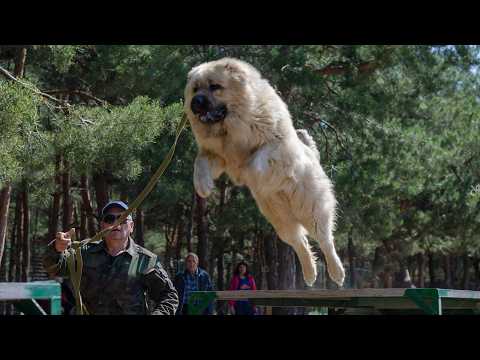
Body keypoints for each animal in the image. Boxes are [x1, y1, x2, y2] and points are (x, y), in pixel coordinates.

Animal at [184, 57, 344, 286]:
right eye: (195, 89)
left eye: (215, 87)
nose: (196, 102)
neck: (231, 128)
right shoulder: (216, 155)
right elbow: (200, 162)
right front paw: (203, 185)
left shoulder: (276, 144)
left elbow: (258, 157)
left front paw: (247, 173)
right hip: (279, 218)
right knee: (300, 241)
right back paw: (310, 273)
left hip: (310, 207)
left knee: (324, 239)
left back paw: (336, 272)